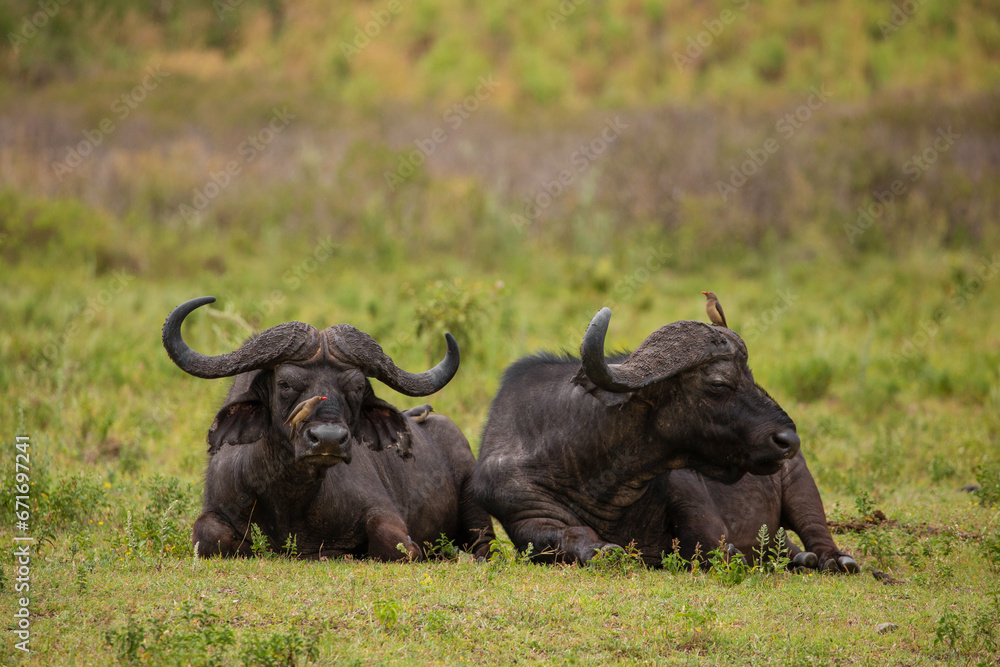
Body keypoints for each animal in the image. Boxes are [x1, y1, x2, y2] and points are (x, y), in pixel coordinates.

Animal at [163, 296, 494, 560]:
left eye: (357, 387)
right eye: (285, 383)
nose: (328, 440)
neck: (291, 499)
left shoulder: (385, 514)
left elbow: (396, 545)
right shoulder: (215, 510)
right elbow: (207, 535)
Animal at [472, 307, 802, 565]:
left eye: (751, 376)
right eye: (718, 384)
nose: (788, 440)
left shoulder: (692, 499)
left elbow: (705, 537)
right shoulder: (524, 512)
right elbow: (570, 535)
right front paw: (603, 551)